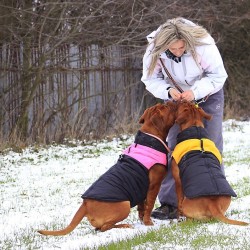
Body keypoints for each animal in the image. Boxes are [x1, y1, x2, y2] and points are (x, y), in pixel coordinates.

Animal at [38, 100, 177, 235]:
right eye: (165, 107)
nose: (171, 102)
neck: (150, 139)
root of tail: (85, 204)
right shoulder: (154, 186)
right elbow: (149, 205)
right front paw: (148, 223)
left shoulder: (142, 188)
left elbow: (142, 207)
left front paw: (143, 220)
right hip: (124, 205)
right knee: (105, 227)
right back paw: (124, 225)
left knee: (99, 228)